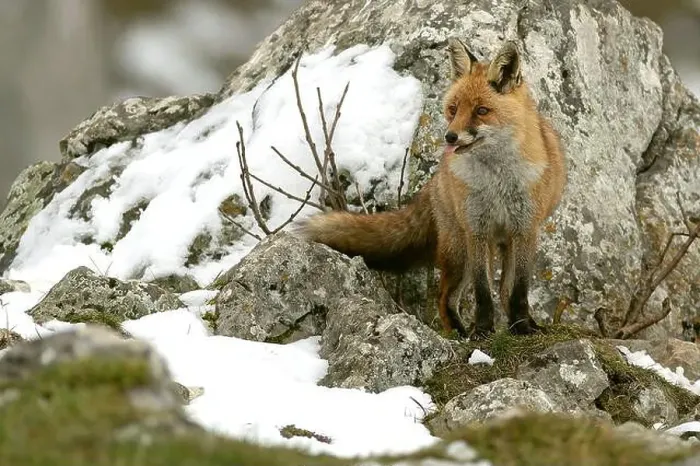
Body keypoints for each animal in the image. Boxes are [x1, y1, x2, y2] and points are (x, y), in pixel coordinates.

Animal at [296, 38, 566, 339]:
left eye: (481, 111)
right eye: (454, 109)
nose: (450, 136)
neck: (497, 181)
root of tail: (436, 181)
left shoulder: (524, 229)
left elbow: (519, 290)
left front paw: (523, 327)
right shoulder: (476, 230)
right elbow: (483, 292)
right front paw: (483, 330)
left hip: (500, 243)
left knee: (504, 290)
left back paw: (515, 324)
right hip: (459, 249)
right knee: (445, 297)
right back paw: (462, 332)